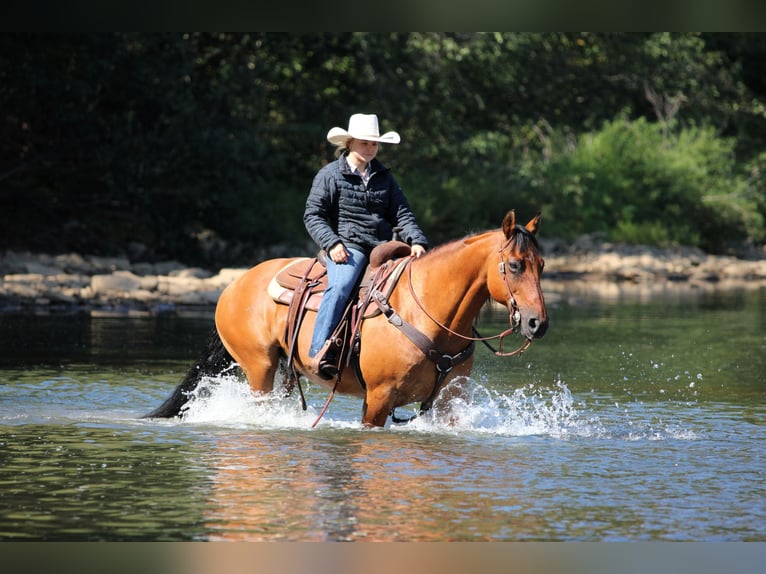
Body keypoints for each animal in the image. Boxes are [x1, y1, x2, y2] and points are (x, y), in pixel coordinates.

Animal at [145, 210, 548, 427]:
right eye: (514, 265)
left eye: (541, 265)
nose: (537, 323)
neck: (427, 313)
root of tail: (235, 285)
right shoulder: (379, 398)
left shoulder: (451, 400)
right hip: (258, 367)